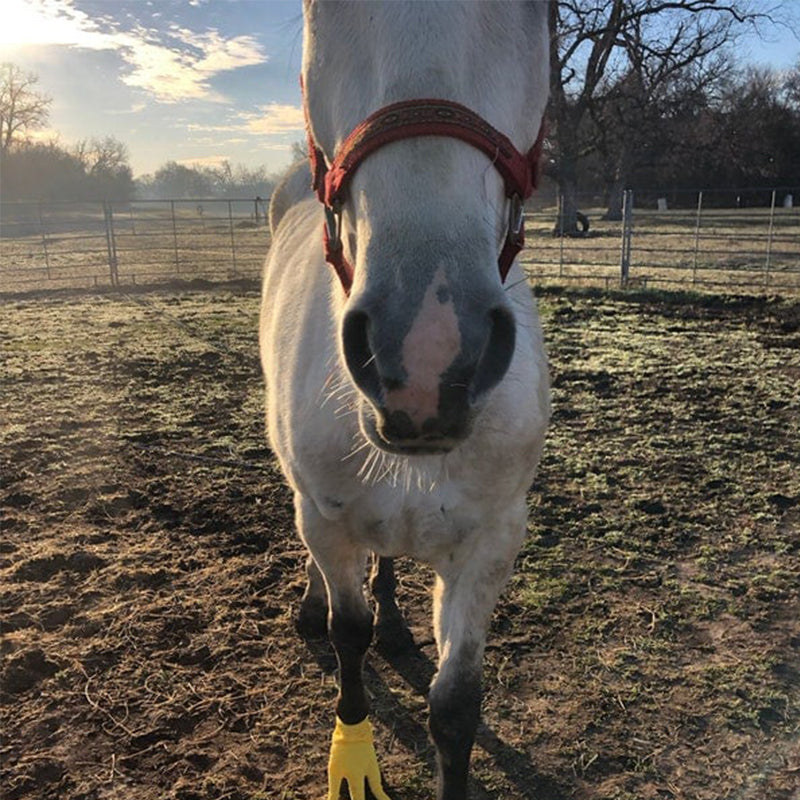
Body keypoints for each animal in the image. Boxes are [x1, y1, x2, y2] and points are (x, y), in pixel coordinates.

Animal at [260, 3, 552, 796]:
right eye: (316, 10)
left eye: (542, 12)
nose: (427, 351)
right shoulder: (327, 518)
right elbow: (348, 635)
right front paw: (353, 758)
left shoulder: (490, 541)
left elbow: (456, 703)